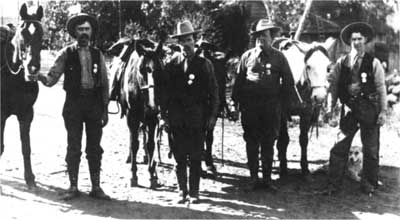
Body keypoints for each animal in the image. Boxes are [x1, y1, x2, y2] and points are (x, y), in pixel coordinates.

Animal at [107, 37, 165, 187]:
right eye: (141, 70)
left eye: (159, 69)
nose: (153, 103)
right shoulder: (132, 117)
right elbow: (134, 144)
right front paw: (133, 175)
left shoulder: (152, 119)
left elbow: (150, 144)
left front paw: (152, 174)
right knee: (133, 137)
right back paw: (130, 157)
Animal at [274, 37, 336, 179]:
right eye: (308, 66)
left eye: (327, 68)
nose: (320, 97)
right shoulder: (282, 112)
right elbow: (284, 139)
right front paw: (283, 169)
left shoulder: (307, 113)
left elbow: (304, 140)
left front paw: (305, 169)